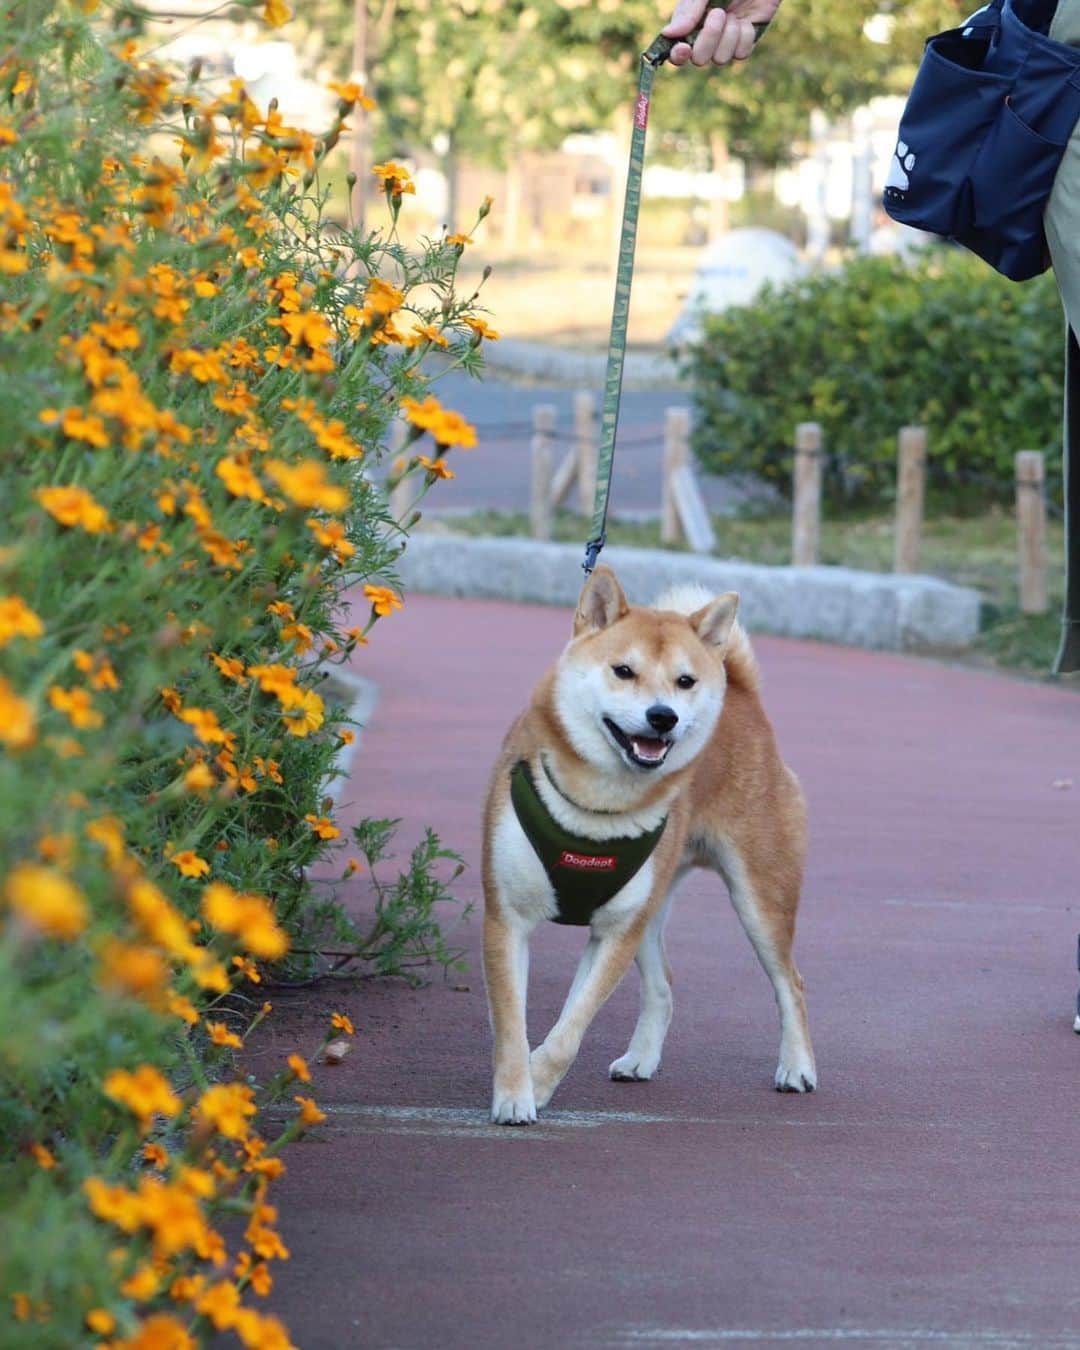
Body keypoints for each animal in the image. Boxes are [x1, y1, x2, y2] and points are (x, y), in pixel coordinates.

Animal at [477, 564, 815, 1123]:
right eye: (623, 671)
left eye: (685, 681)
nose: (663, 716)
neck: (598, 808)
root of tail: (743, 695)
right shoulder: (507, 918)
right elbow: (510, 1023)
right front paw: (514, 1093)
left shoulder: (615, 931)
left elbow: (569, 1030)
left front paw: (539, 1081)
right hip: (654, 906)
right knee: (664, 984)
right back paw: (640, 1060)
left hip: (758, 898)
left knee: (791, 983)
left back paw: (797, 1068)